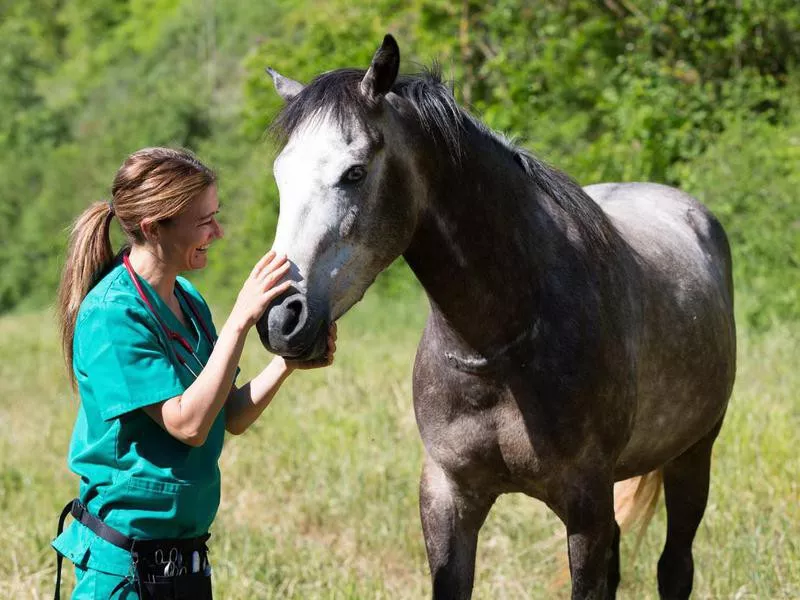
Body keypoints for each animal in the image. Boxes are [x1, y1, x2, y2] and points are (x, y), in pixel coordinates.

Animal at [258, 34, 736, 600]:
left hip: (694, 455)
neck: (501, 346)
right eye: (281, 176)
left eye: (354, 172)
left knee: (675, 565)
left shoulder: (586, 508)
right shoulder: (448, 497)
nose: (280, 318)